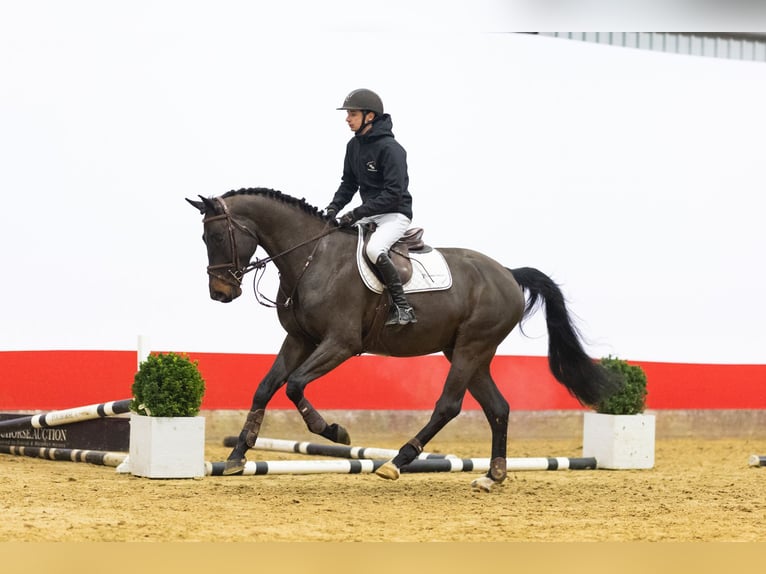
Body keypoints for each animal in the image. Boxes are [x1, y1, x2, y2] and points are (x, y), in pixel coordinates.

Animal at [187, 187, 619, 491]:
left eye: (217, 237)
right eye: (205, 239)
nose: (220, 293)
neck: (312, 258)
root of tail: (509, 274)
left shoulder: (340, 343)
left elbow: (293, 385)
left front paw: (336, 432)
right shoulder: (298, 340)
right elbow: (265, 387)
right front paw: (237, 457)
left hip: (470, 348)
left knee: (448, 405)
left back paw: (396, 462)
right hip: (468, 352)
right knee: (498, 408)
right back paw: (492, 476)